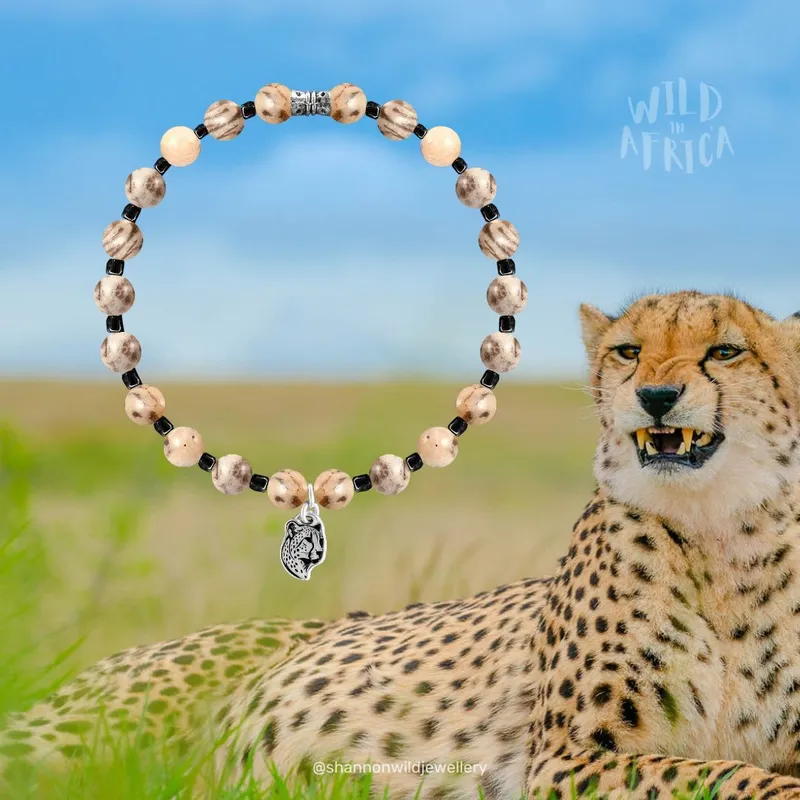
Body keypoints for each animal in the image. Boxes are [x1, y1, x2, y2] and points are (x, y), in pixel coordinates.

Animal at [5, 289, 800, 799]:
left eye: (725, 351)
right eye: (629, 352)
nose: (656, 398)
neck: (720, 539)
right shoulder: (564, 760)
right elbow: (718, 774)